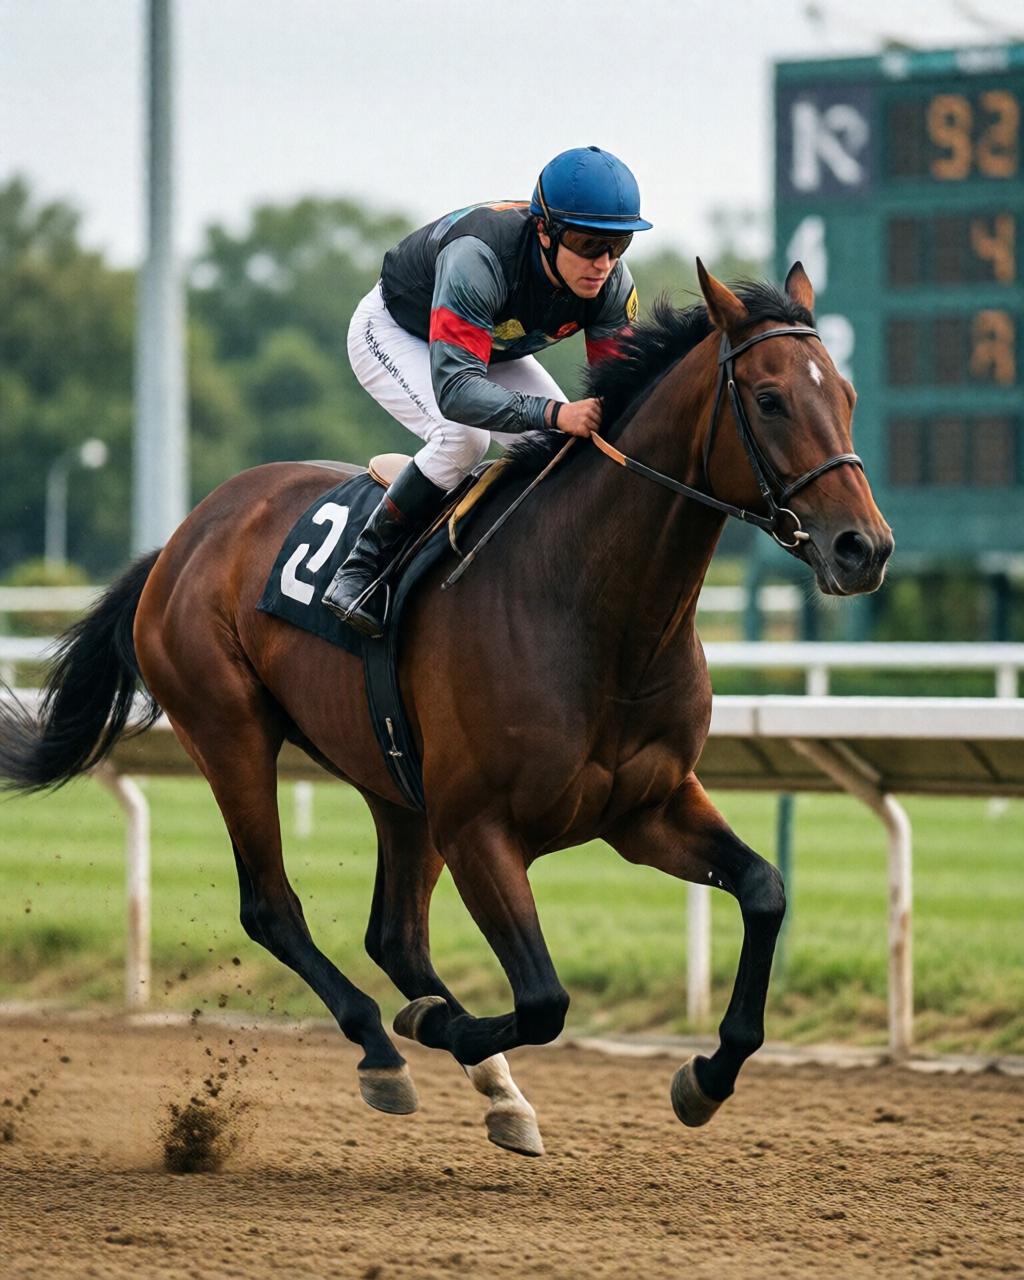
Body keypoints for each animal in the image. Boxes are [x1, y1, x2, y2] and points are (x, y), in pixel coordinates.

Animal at [0, 262, 892, 1157]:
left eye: (848, 393)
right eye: (770, 400)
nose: (865, 548)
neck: (593, 610)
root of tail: (183, 538)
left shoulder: (647, 807)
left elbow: (765, 890)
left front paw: (705, 1076)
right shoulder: (479, 827)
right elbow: (543, 999)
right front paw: (437, 1026)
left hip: (397, 783)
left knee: (393, 934)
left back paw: (496, 1088)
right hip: (230, 732)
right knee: (274, 909)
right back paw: (385, 1047)